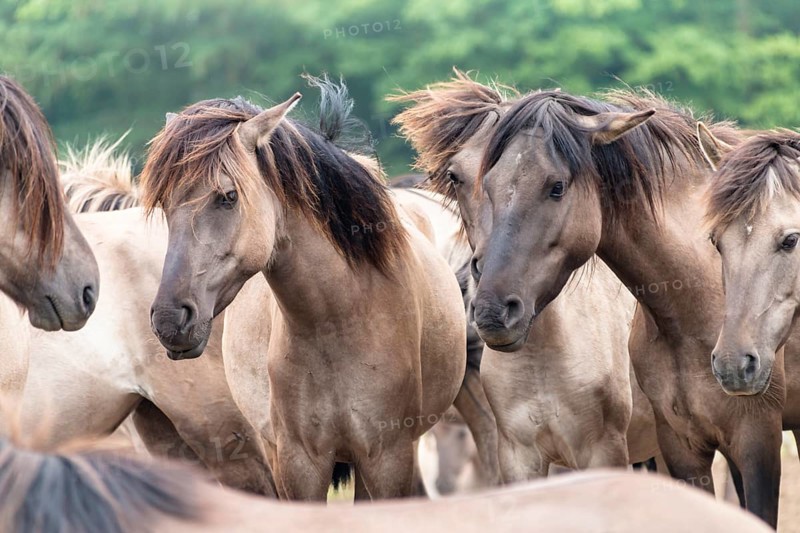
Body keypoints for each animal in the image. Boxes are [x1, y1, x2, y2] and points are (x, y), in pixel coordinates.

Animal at [140, 76, 467, 500]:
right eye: (165, 204)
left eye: (228, 197)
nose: (169, 320)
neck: (339, 319)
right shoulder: (299, 463)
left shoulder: (388, 457)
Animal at [390, 73, 660, 481]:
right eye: (455, 176)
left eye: (557, 187)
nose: (494, 308)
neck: (543, 356)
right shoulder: (520, 456)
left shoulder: (602, 453)